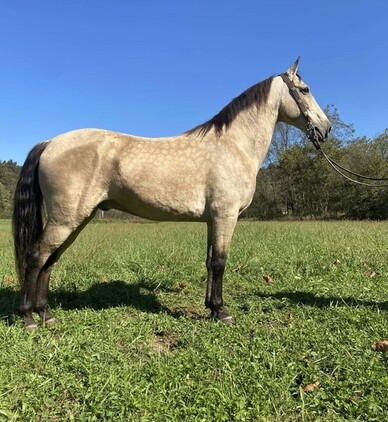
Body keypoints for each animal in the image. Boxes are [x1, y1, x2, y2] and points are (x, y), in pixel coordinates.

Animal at [12, 59, 330, 330]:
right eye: (305, 89)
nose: (325, 128)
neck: (233, 145)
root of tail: (50, 142)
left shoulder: (212, 220)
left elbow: (210, 262)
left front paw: (211, 307)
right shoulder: (225, 216)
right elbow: (220, 262)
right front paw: (221, 311)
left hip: (77, 219)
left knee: (50, 260)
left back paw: (46, 314)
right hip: (66, 220)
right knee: (36, 257)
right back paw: (28, 317)